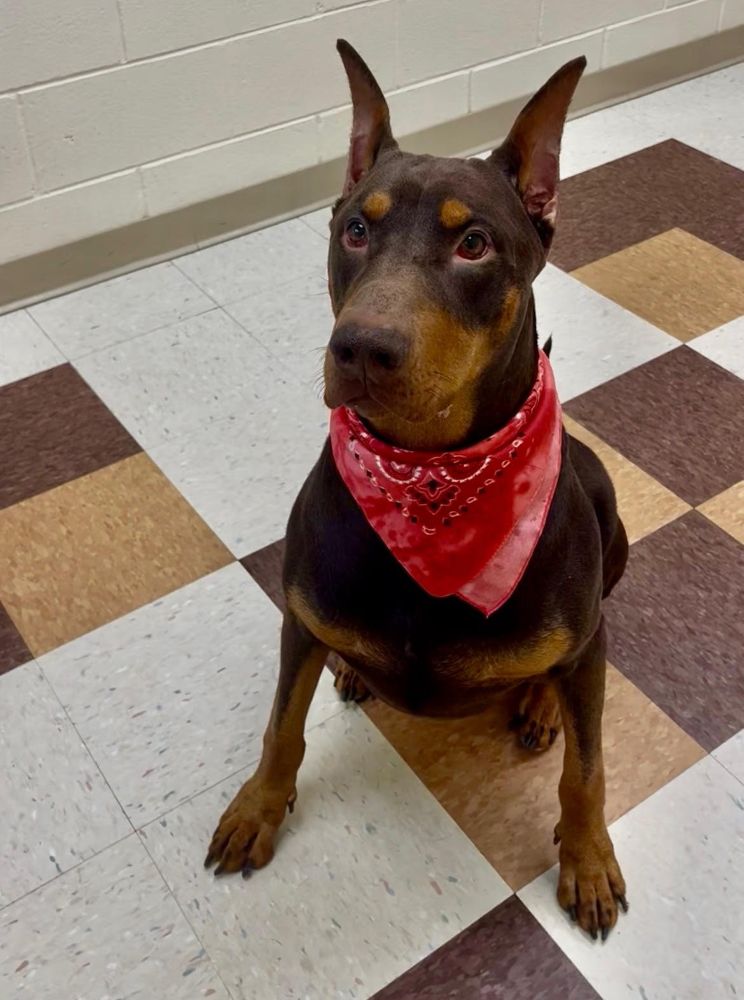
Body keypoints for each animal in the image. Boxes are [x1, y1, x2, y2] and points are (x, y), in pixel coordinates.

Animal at [205, 39, 629, 942]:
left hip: (606, 512)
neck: (432, 481)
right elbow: (280, 726)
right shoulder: (299, 616)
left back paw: (539, 701)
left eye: (473, 243)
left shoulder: (587, 649)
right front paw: (259, 808)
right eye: (356, 228)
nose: (361, 348)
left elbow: (589, 768)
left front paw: (587, 860)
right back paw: (355, 668)